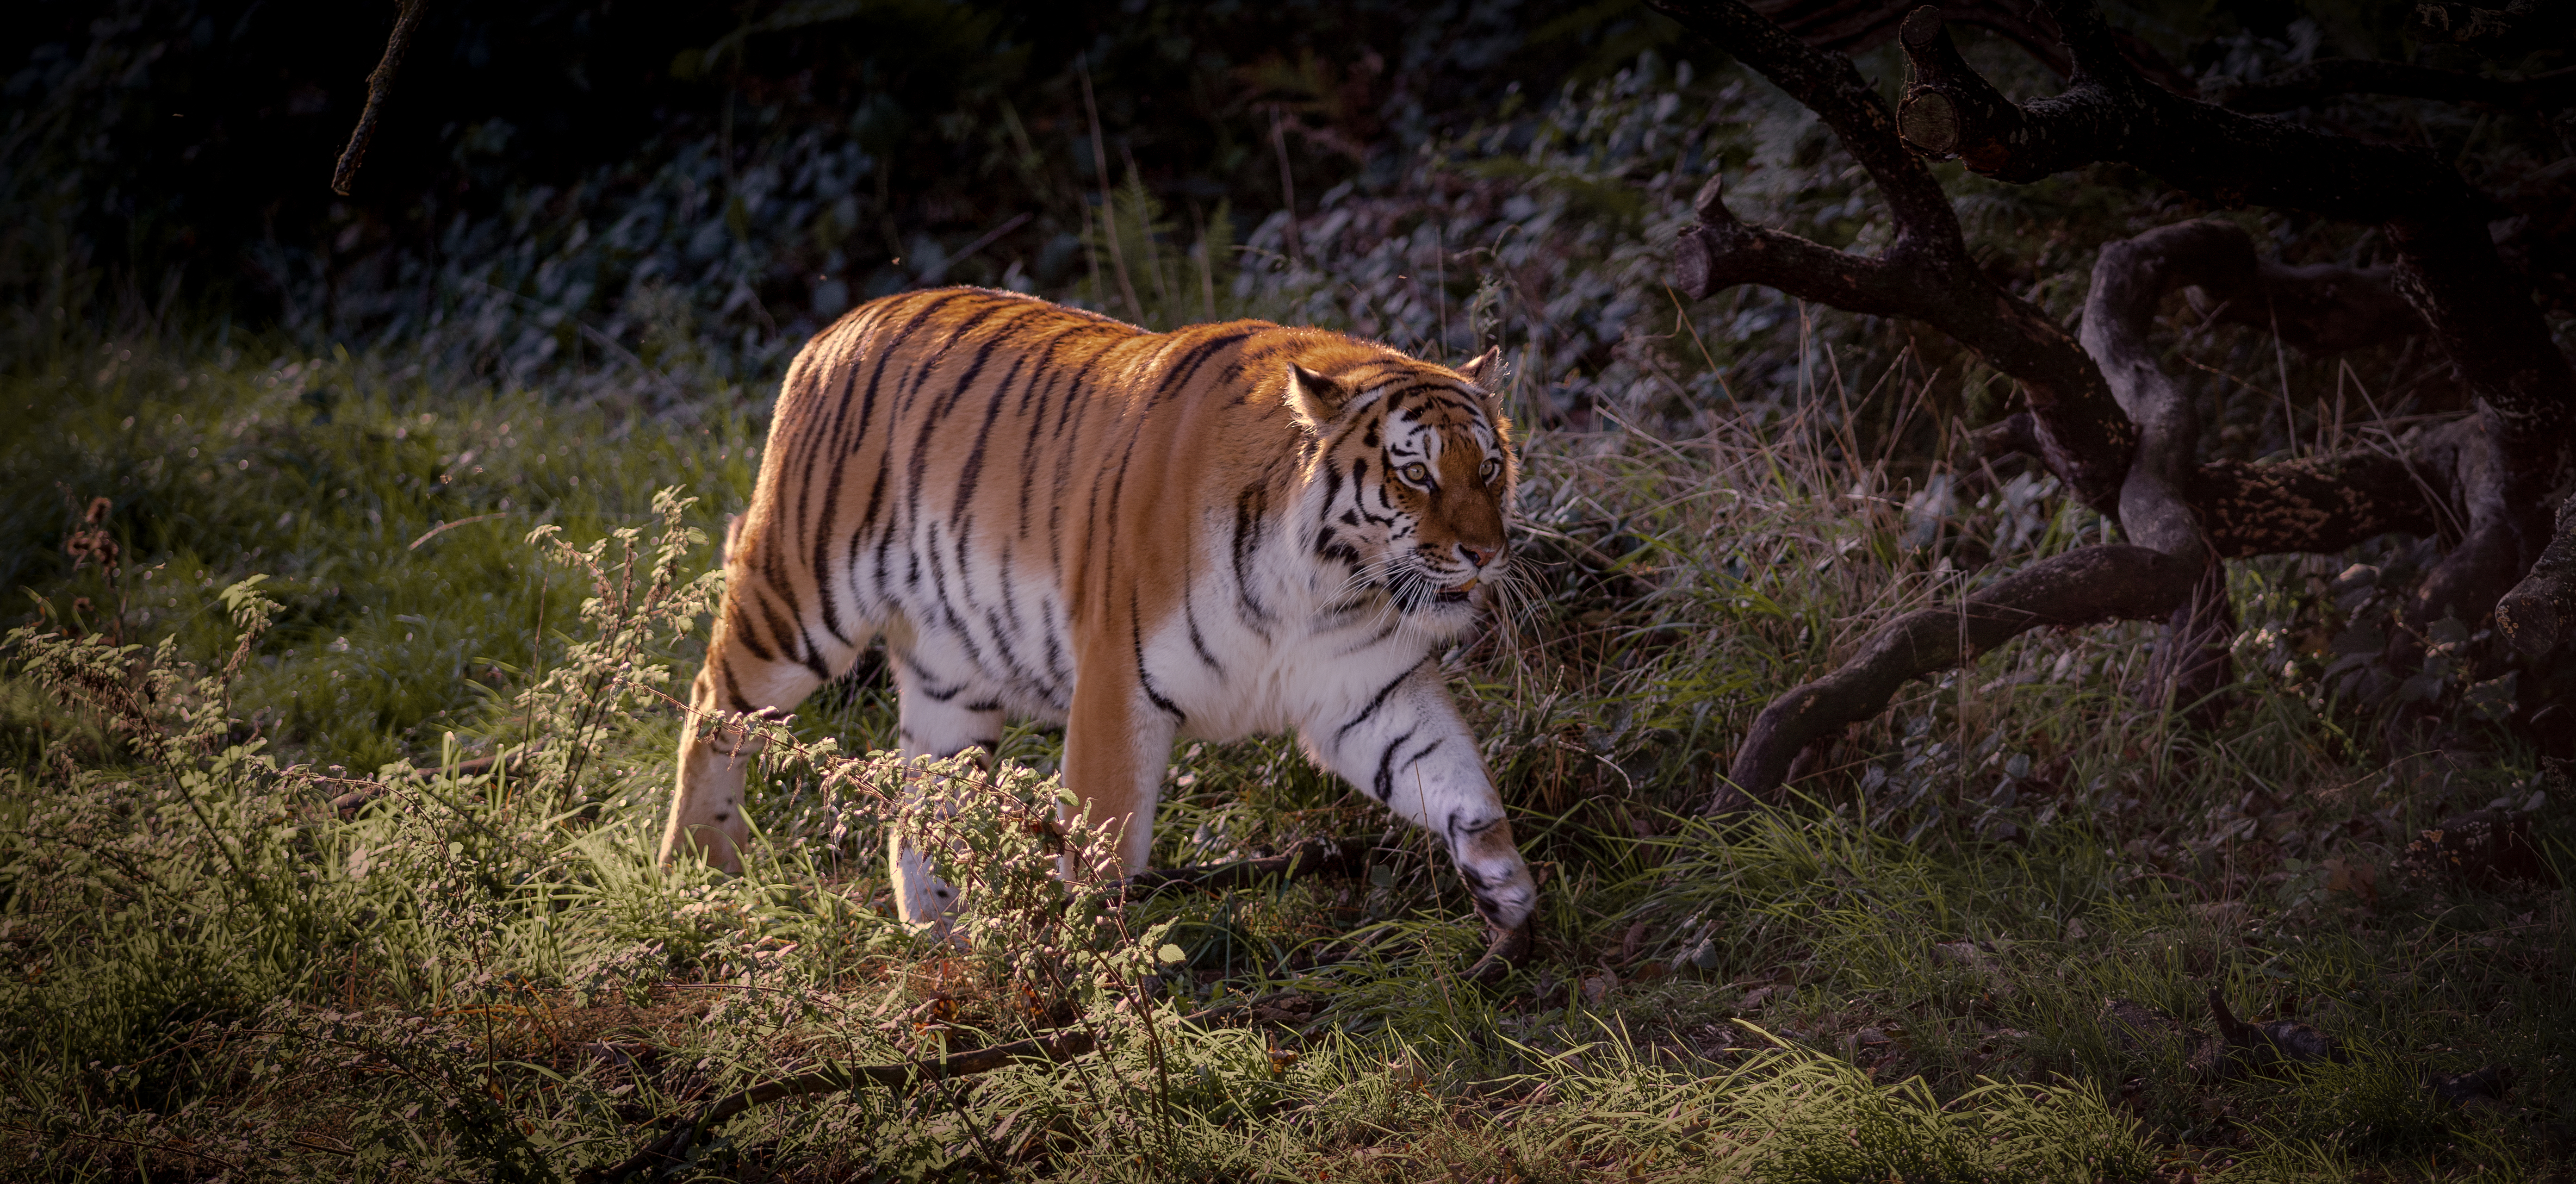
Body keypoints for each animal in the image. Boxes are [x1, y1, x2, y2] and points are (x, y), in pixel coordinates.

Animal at [664, 285, 1535, 944]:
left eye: (1489, 469)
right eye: (1415, 475)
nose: (1483, 553)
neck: (1328, 582)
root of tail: (834, 327)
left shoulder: (1364, 689)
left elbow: (1457, 776)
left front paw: (1506, 889)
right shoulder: (1119, 684)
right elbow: (1106, 849)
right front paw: (1112, 978)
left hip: (951, 680)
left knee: (924, 793)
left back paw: (941, 931)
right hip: (798, 600)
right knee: (715, 704)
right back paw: (701, 871)